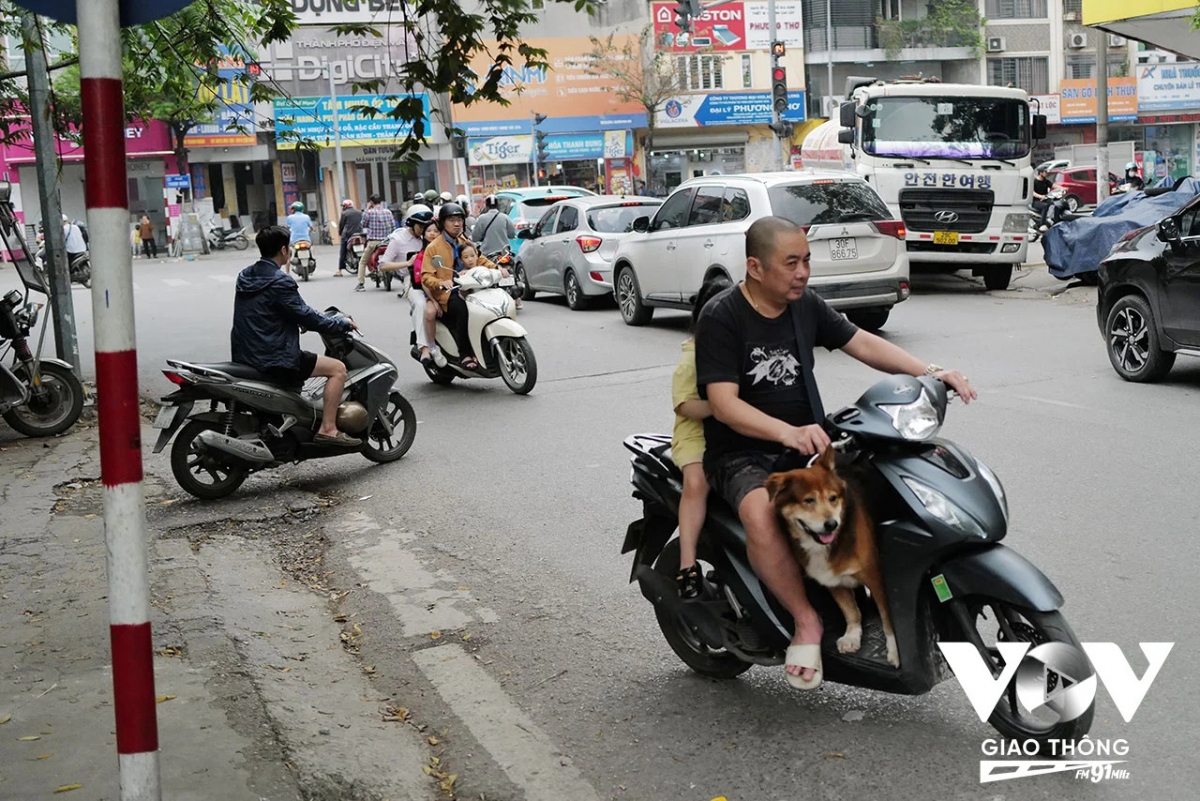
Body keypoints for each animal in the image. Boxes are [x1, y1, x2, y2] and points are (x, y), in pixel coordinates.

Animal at [768, 450, 902, 671]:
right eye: (808, 500)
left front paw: (894, 651)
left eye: (832, 498)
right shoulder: (831, 579)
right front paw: (852, 636)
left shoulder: (876, 577)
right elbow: (851, 611)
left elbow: (888, 617)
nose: (831, 524)